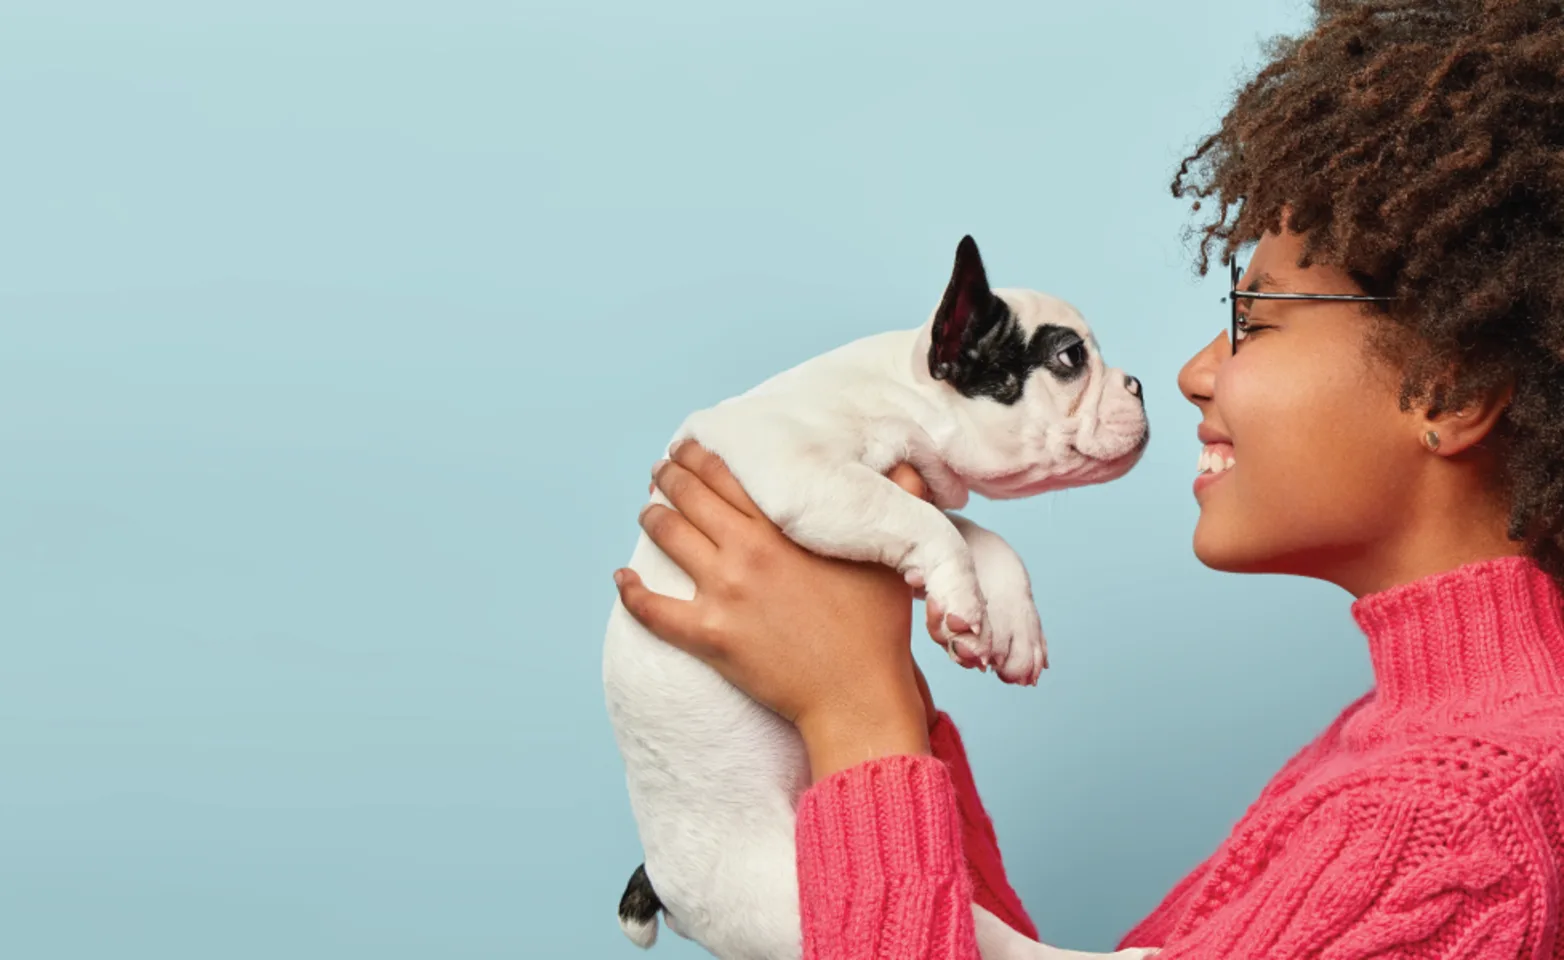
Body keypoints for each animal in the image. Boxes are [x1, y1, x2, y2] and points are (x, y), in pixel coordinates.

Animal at [603, 239, 1157, 960]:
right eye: (1069, 359)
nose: (1138, 384)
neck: (903, 399)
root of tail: (663, 881)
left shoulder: (914, 483)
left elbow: (982, 537)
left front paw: (1011, 627)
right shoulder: (807, 476)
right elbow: (928, 523)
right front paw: (965, 603)